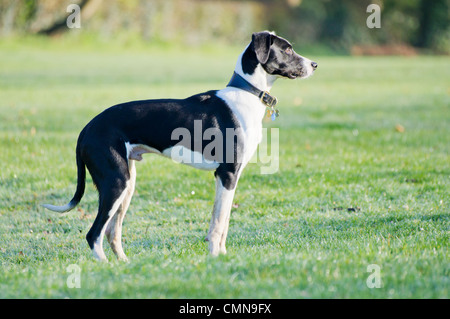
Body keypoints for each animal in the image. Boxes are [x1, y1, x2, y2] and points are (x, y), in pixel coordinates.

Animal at [41, 31, 316, 262]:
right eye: (287, 49)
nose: (315, 65)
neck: (245, 94)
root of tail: (87, 128)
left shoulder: (228, 178)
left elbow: (224, 221)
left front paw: (222, 256)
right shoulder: (227, 174)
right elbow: (218, 225)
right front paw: (216, 258)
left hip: (127, 185)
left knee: (111, 233)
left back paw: (125, 265)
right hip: (116, 183)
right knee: (94, 234)